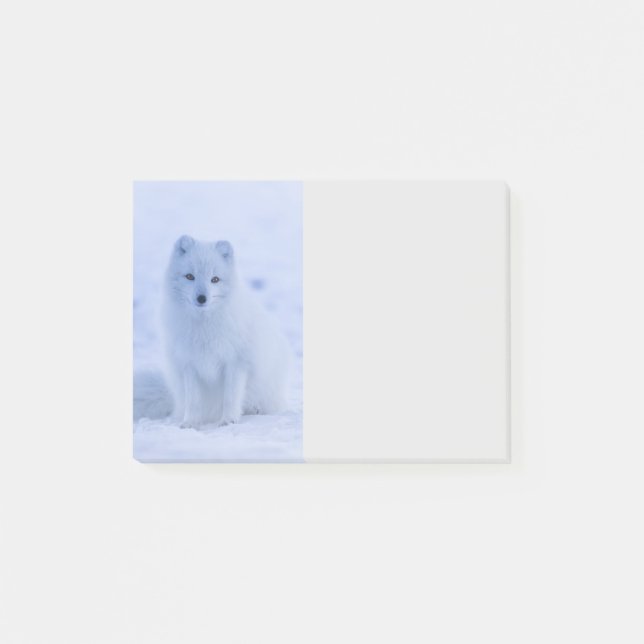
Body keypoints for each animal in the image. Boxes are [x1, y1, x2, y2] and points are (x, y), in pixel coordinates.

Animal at [135, 235, 292, 428]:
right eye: (190, 276)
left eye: (215, 279)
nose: (202, 298)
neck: (204, 326)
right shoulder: (189, 364)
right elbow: (193, 401)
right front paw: (190, 423)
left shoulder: (236, 362)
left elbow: (231, 397)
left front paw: (228, 420)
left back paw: (255, 410)